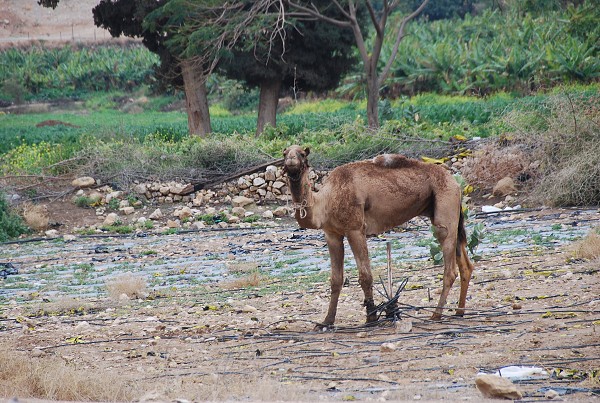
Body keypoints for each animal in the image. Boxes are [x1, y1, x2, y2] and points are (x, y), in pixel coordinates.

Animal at [284, 145, 476, 328]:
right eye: (284, 153)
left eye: (302, 154)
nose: (291, 160)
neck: (325, 201)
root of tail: (455, 182)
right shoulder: (332, 234)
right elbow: (336, 279)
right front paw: (326, 322)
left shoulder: (355, 229)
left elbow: (365, 276)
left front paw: (371, 317)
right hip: (448, 212)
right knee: (465, 264)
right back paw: (459, 311)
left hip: (445, 205)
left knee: (449, 266)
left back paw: (436, 314)